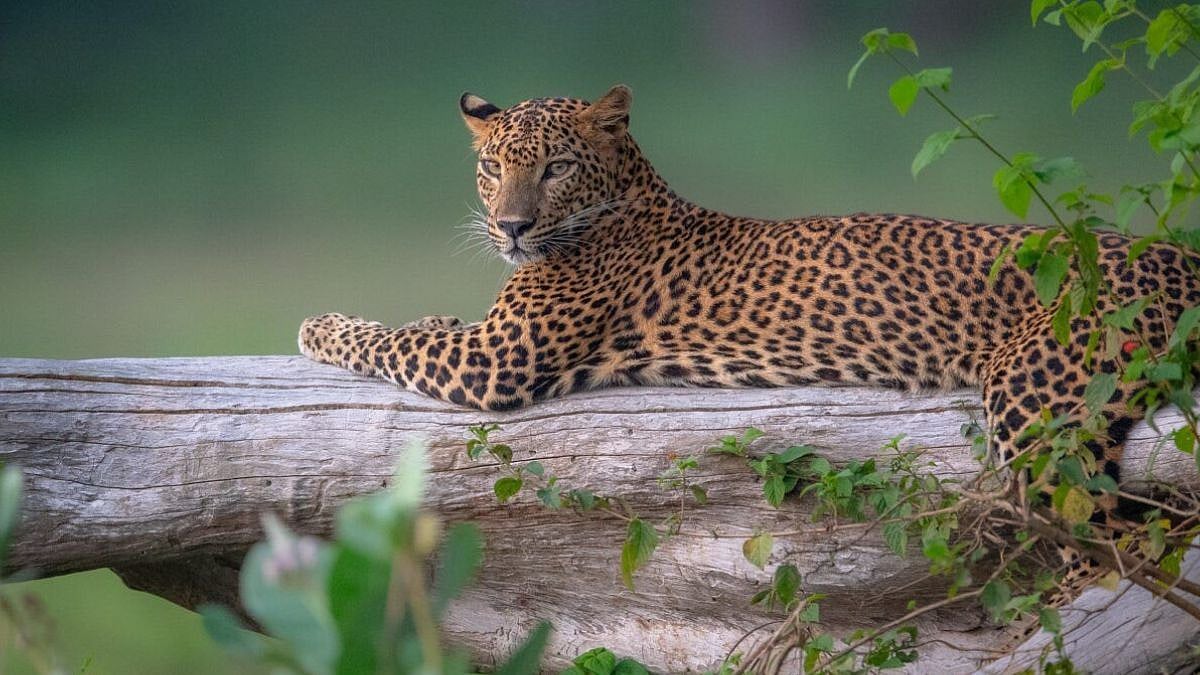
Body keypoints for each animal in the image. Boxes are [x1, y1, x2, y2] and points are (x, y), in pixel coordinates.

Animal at [299, 84, 1198, 603]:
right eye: (491, 168)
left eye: (554, 168)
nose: (510, 226)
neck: (626, 195)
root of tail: (1181, 260)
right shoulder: (487, 336)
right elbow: (424, 325)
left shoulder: (495, 362)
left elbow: (388, 338)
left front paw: (317, 324)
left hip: (1036, 403)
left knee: (1110, 544)